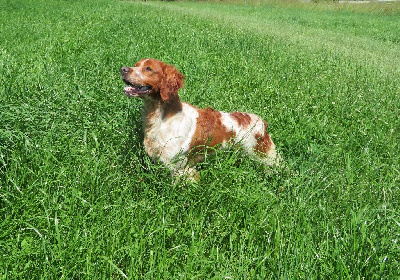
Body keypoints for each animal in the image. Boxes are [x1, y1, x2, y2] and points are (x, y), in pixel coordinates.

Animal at [120, 59, 280, 182]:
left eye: (148, 68)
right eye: (136, 64)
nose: (123, 69)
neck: (162, 116)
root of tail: (262, 122)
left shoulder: (180, 168)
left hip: (265, 156)